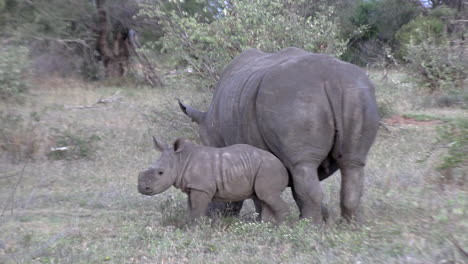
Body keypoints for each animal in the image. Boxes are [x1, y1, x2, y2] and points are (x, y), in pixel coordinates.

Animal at [137, 137, 288, 224]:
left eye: (160, 173)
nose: (142, 188)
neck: (180, 159)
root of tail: (283, 166)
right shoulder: (193, 187)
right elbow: (191, 207)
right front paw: (190, 225)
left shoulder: (201, 187)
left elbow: (197, 209)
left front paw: (195, 228)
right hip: (265, 168)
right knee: (264, 198)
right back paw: (266, 225)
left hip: (268, 168)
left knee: (267, 195)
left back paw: (280, 227)